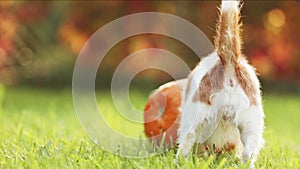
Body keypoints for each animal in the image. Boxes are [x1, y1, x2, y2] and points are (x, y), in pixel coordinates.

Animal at [176, 0, 264, 168]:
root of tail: (228, 63)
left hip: (193, 119)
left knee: (185, 144)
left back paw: (179, 162)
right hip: (251, 123)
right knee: (248, 153)